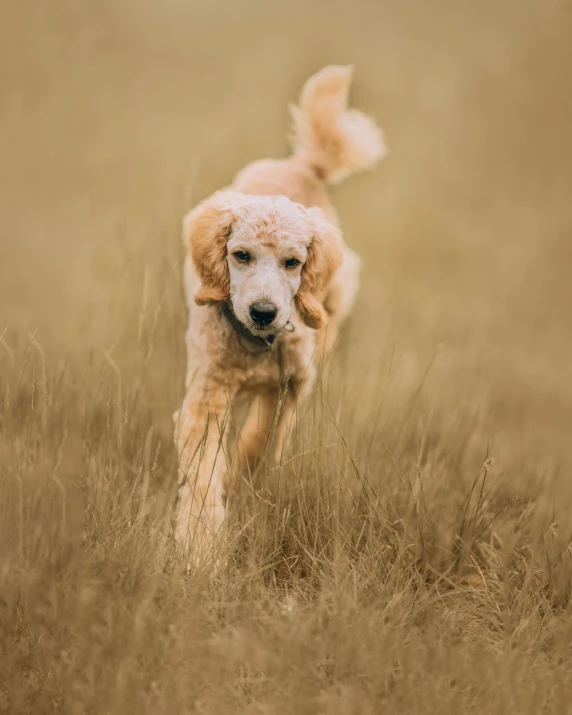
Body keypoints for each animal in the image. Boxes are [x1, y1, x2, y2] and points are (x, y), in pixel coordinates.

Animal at [174, 65, 386, 564]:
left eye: (292, 262)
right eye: (241, 255)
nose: (265, 311)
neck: (255, 345)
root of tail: (304, 165)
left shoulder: (292, 382)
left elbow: (263, 439)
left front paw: (242, 474)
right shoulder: (207, 395)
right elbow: (203, 474)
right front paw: (200, 553)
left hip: (334, 296)